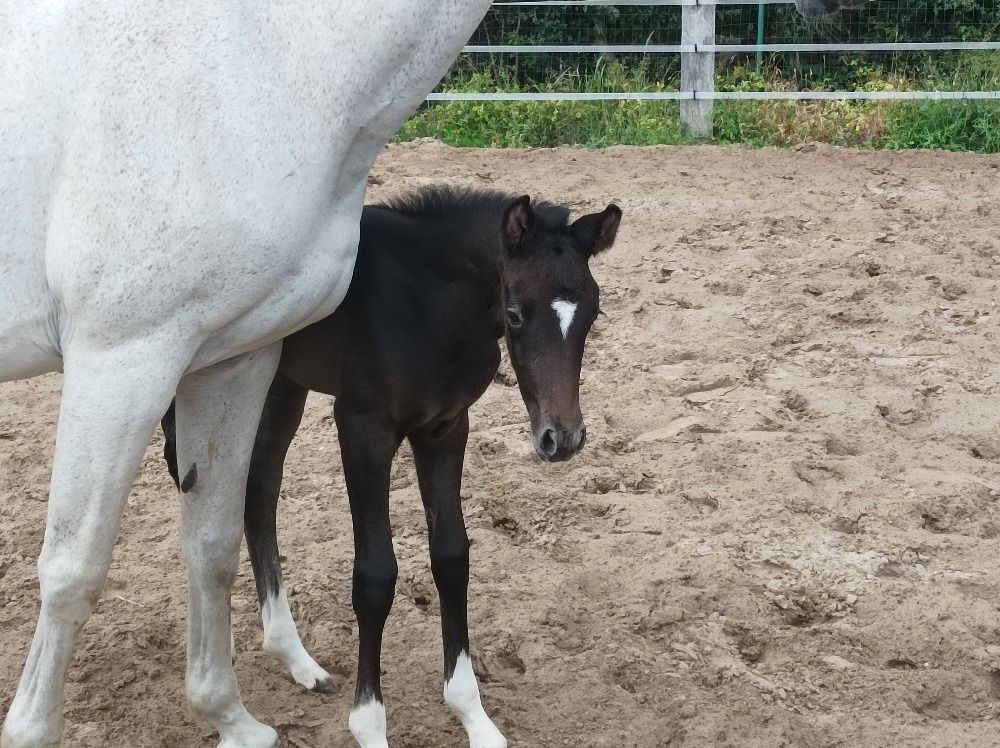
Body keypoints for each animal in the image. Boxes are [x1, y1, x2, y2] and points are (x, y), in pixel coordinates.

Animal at [0, 3, 492, 746]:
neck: (260, 61)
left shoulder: (233, 357)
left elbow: (212, 542)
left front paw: (228, 717)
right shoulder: (121, 358)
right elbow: (71, 570)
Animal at [161, 186, 622, 747]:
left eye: (593, 313)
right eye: (515, 314)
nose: (562, 438)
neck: (424, 303)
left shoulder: (446, 427)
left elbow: (452, 558)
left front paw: (473, 714)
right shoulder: (363, 430)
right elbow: (375, 576)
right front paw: (370, 725)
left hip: (280, 385)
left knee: (259, 493)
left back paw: (295, 658)